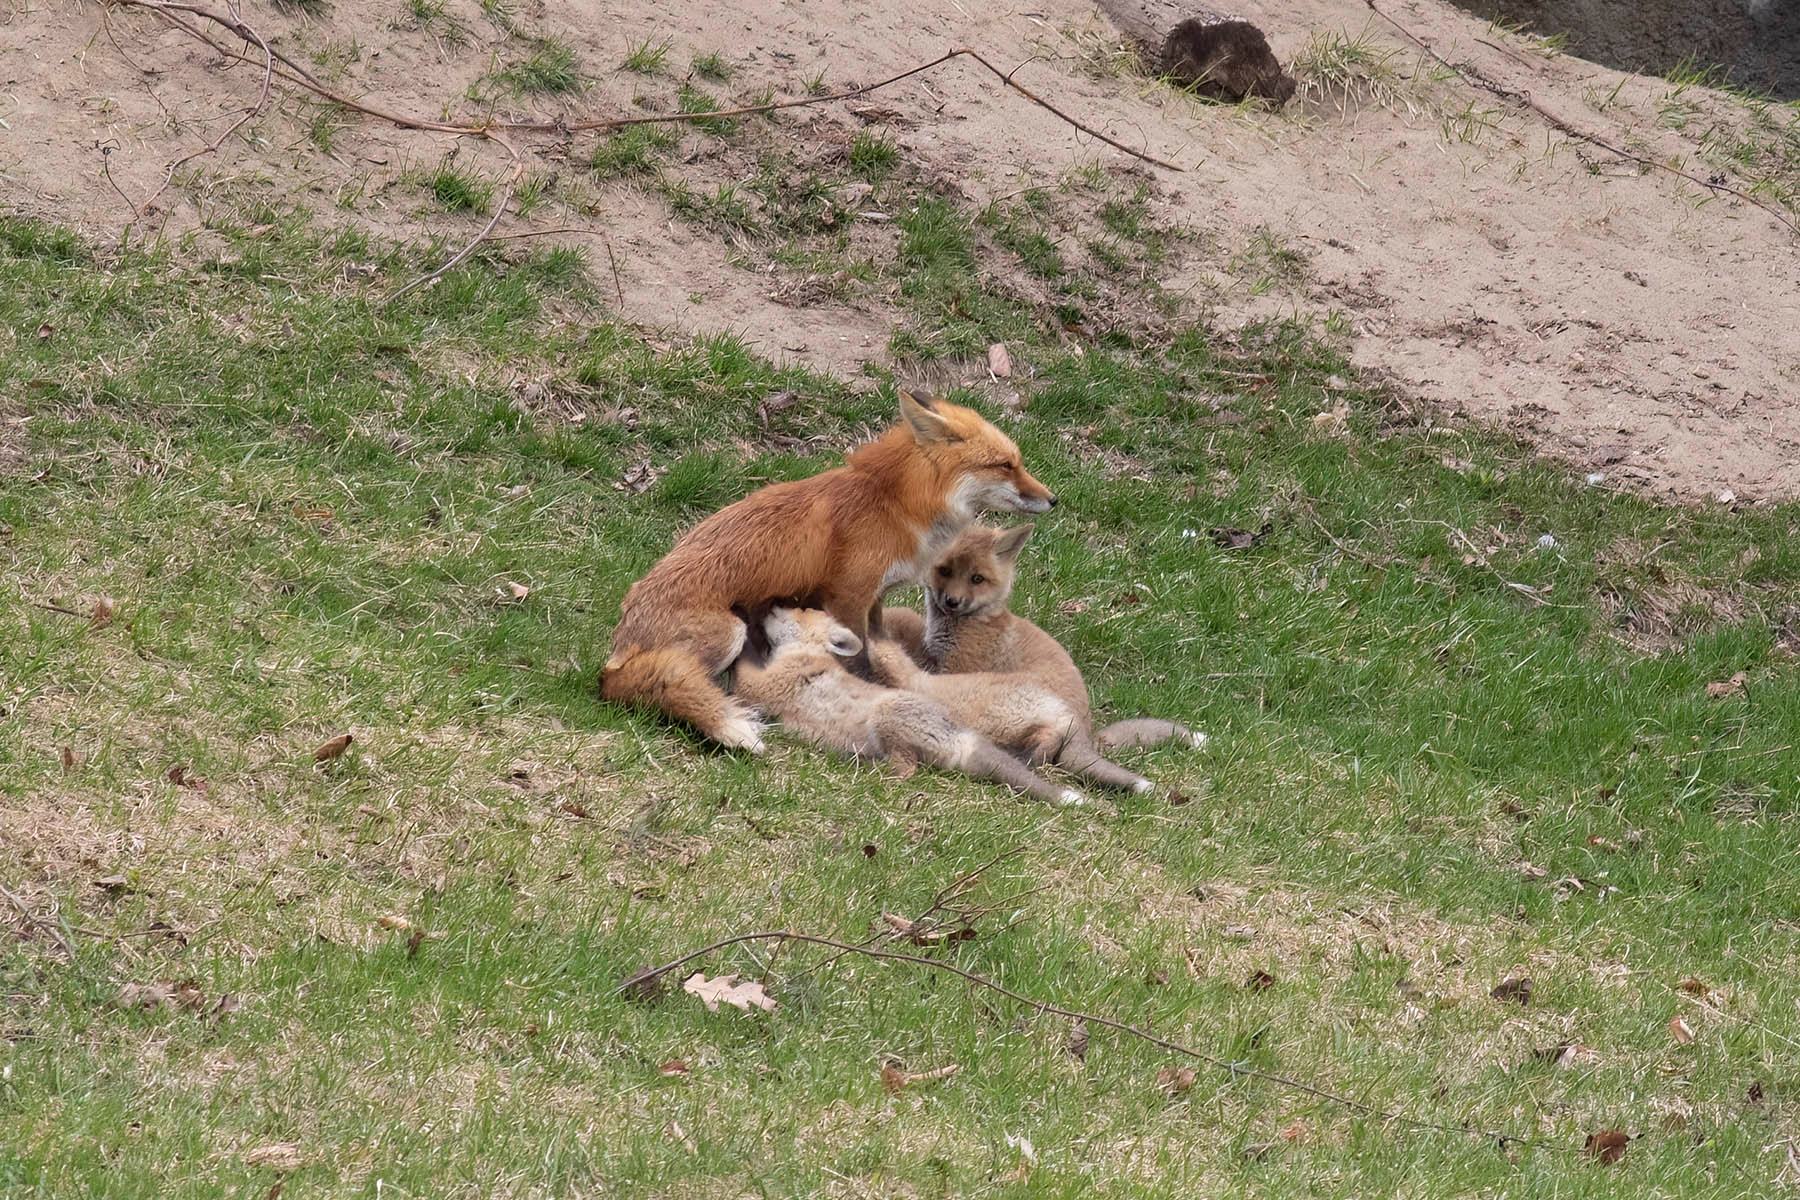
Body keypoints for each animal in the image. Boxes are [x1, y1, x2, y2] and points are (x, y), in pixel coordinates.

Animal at [604, 394, 1051, 752]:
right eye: (1005, 465)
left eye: (1018, 463)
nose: (1054, 499)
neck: (893, 504)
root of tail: (612, 662)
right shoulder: (848, 596)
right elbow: (858, 659)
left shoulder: (875, 596)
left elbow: (878, 650)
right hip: (728, 631)